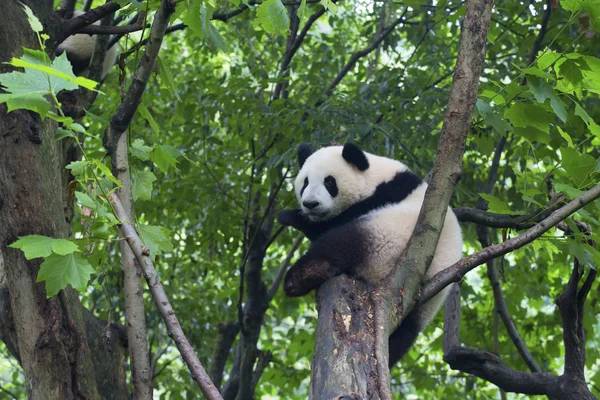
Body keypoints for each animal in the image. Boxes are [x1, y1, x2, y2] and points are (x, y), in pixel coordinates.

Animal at [278, 144, 464, 366]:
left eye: (329, 182)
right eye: (305, 182)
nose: (310, 204)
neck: (374, 177)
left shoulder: (382, 196)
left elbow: (331, 225)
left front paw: (290, 216)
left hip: (385, 237)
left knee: (339, 245)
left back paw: (296, 279)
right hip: (416, 308)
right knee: (402, 336)